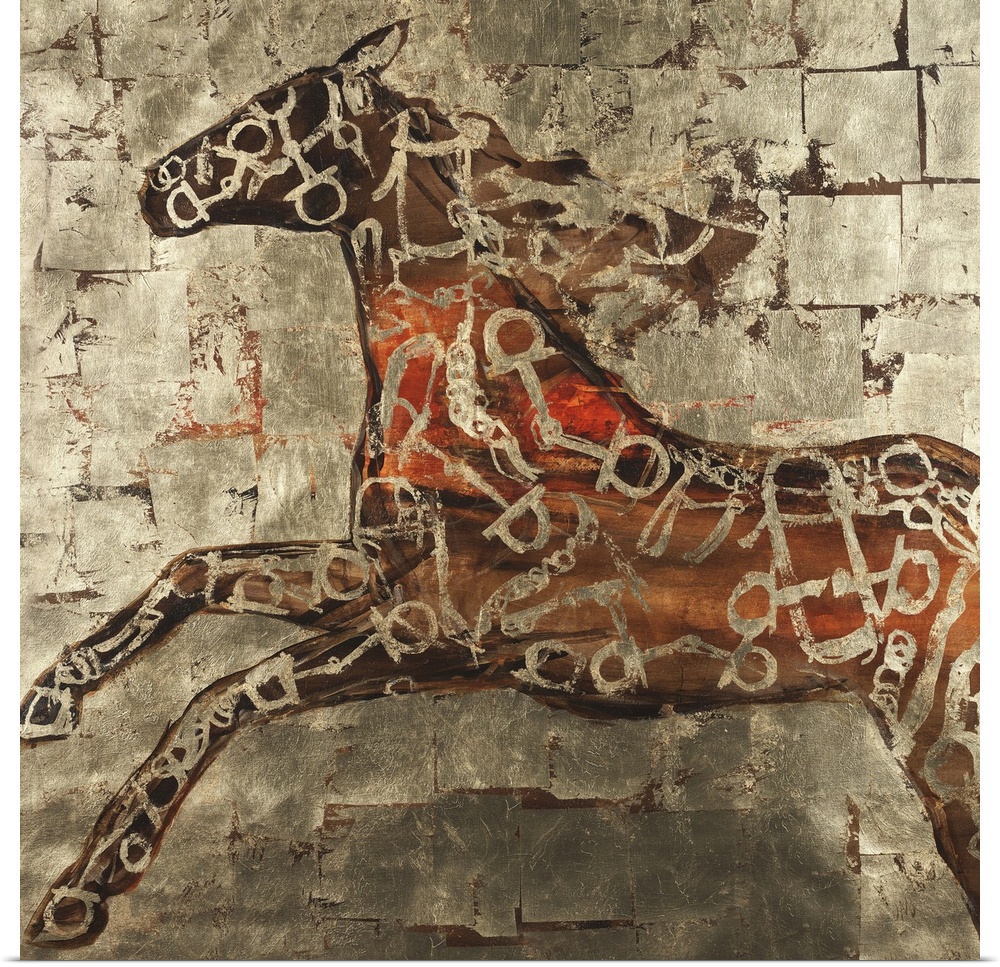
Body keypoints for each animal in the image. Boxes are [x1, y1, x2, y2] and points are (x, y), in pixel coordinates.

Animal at [21, 21, 980, 948]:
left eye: (267, 115)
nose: (157, 186)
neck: (479, 419)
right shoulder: (373, 570)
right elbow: (193, 568)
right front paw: (50, 698)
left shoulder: (431, 627)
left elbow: (229, 692)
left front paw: (78, 893)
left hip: (946, 740)